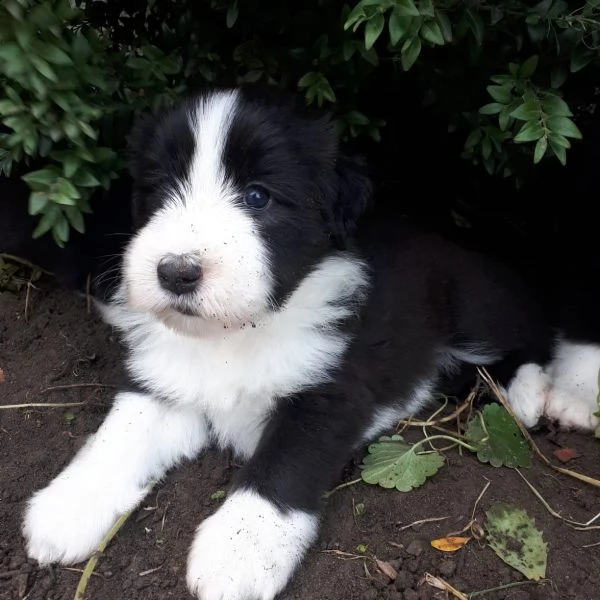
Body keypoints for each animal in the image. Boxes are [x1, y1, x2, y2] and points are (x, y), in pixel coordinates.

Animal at [21, 88, 596, 600]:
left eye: (257, 196)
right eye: (161, 187)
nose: (175, 273)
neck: (236, 333)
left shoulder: (327, 393)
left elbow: (282, 466)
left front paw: (238, 552)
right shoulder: (163, 380)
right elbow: (118, 437)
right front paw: (65, 509)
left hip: (475, 305)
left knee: (531, 332)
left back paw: (529, 395)